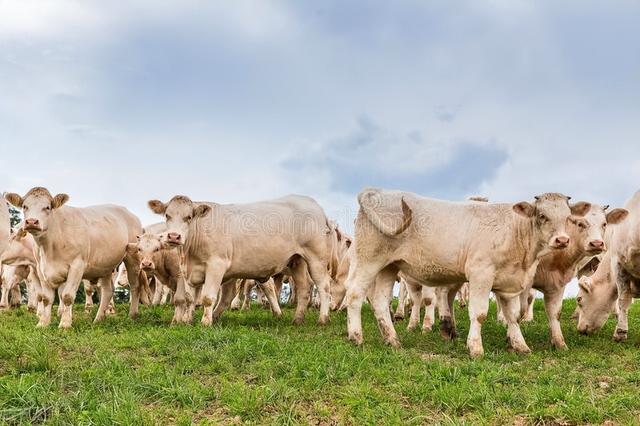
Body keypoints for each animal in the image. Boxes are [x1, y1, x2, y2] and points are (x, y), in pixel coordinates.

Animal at [5, 188, 143, 328]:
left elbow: (67, 296)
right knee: (107, 290)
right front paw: (43, 323)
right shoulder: (40, 269)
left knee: (134, 286)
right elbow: (46, 298)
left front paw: (65, 323)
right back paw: (98, 319)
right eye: (25, 206)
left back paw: (132, 315)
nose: (32, 222)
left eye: (47, 207)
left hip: (132, 258)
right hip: (105, 265)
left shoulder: (77, 266)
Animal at [148, 195, 332, 324]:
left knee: (323, 286)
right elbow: (190, 298)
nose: (174, 236)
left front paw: (205, 322)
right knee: (304, 288)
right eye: (167, 215)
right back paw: (297, 319)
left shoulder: (216, 265)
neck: (189, 255)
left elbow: (207, 297)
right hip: (296, 261)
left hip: (316, 258)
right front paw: (187, 320)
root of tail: (312, 202)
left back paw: (323, 318)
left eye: (189, 217)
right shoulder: (190, 272)